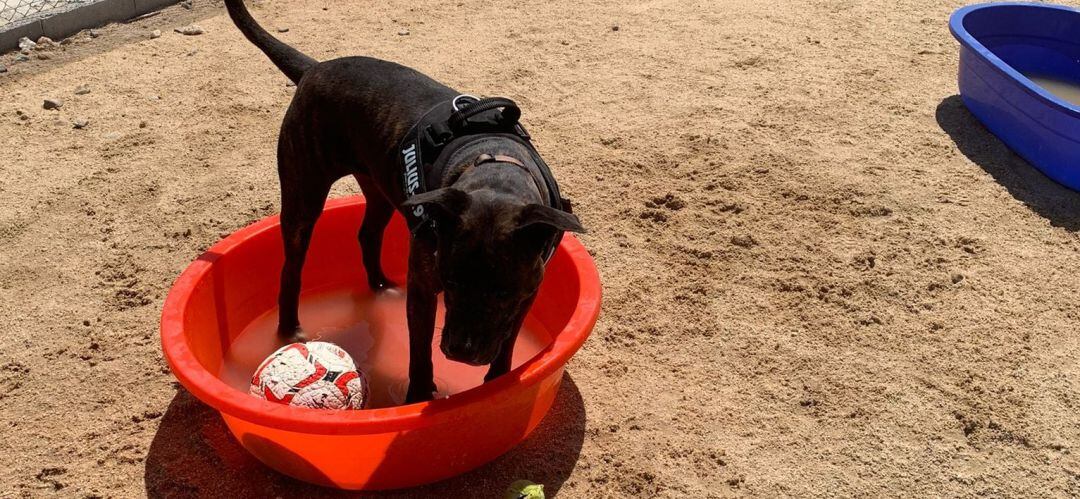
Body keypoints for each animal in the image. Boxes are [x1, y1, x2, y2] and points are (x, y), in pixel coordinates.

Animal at [222, 0, 587, 406]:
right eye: (451, 281)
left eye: (503, 291)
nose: (462, 351)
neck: (495, 167)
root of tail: (315, 68)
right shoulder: (424, 286)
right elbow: (420, 351)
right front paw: (418, 397)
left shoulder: (528, 289)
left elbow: (507, 339)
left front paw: (499, 380)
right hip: (304, 193)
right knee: (291, 268)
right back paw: (290, 329)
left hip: (379, 187)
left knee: (367, 234)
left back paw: (380, 285)